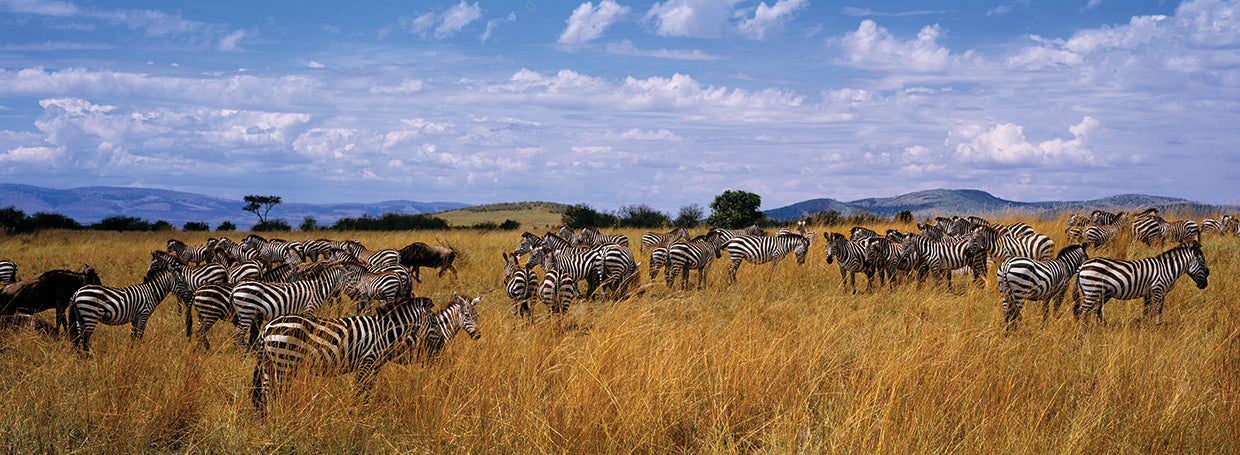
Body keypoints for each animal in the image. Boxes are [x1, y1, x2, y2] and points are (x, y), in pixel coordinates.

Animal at [250, 294, 452, 412]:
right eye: (435, 322)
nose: (443, 343)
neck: (385, 331)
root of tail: (267, 328)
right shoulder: (368, 360)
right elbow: (360, 390)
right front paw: (357, 414)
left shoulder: (375, 366)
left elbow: (367, 390)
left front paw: (365, 412)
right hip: (285, 362)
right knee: (275, 392)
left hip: (269, 364)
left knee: (266, 393)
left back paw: (268, 419)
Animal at [1075, 240, 1209, 325]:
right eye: (1202, 262)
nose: (1205, 285)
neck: (1167, 269)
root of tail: (1082, 265)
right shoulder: (1158, 289)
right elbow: (1156, 309)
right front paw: (1155, 325)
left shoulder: (1150, 292)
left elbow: (1148, 310)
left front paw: (1147, 325)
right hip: (1092, 291)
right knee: (1082, 312)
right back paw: (1082, 332)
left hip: (1098, 292)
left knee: (1093, 310)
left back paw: (1095, 327)